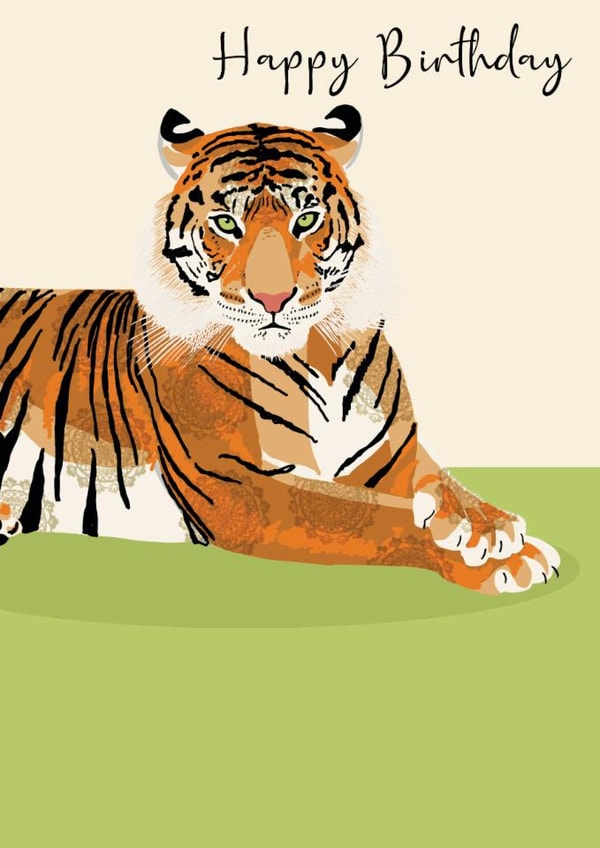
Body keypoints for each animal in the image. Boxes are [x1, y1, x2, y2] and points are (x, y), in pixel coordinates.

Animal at [0, 105, 560, 594]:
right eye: (226, 224)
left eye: (306, 219)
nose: (273, 299)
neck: (317, 356)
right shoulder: (244, 486)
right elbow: (366, 514)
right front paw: (496, 558)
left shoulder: (392, 453)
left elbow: (442, 481)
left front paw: (491, 525)